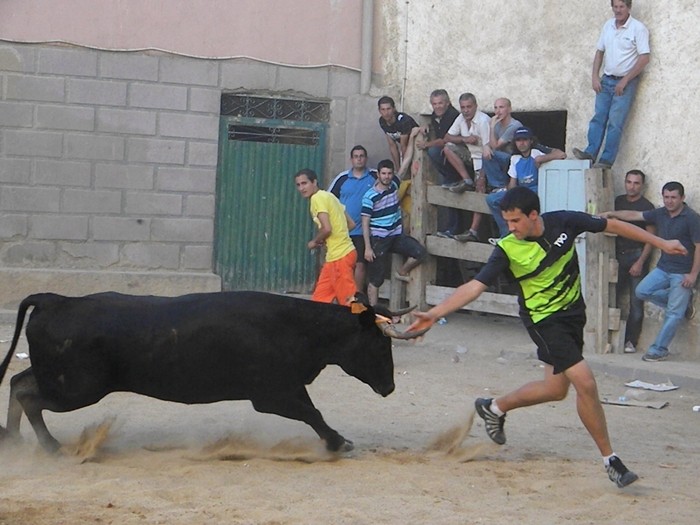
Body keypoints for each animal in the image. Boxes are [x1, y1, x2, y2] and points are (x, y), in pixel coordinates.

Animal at [0, 290, 426, 450]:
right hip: (75, 387)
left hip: (61, 380)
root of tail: (56, 299)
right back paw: (50, 446)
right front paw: (339, 442)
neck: (296, 327)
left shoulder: (282, 389)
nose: (389, 387)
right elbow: (313, 413)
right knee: (27, 393)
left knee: (19, 383)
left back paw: (16, 439)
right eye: (380, 344)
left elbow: (311, 411)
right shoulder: (273, 394)